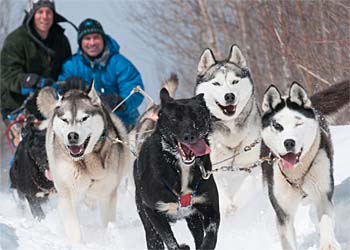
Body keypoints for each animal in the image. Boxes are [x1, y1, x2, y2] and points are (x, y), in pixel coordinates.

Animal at [37, 83, 130, 242]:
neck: (86, 162)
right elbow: (73, 226)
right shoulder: (68, 194)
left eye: (85, 118)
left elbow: (107, 220)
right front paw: (77, 243)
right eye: (65, 120)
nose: (72, 136)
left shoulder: (107, 194)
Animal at [133, 88, 219, 250]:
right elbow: (171, 242)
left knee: (198, 235)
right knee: (155, 240)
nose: (190, 136)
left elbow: (210, 236)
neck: (180, 167)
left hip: (193, 220)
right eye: (174, 119)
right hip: (149, 227)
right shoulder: (153, 211)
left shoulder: (209, 206)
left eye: (197, 116)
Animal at [196, 44, 262, 213]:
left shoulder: (250, 164)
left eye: (235, 81)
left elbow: (246, 186)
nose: (229, 96)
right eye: (216, 84)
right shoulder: (213, 170)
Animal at [260, 82, 342, 250]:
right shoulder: (283, 211)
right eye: (277, 125)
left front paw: (328, 243)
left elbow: (325, 220)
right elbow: (287, 235)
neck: (296, 172)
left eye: (298, 123)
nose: (289, 142)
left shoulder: (322, 195)